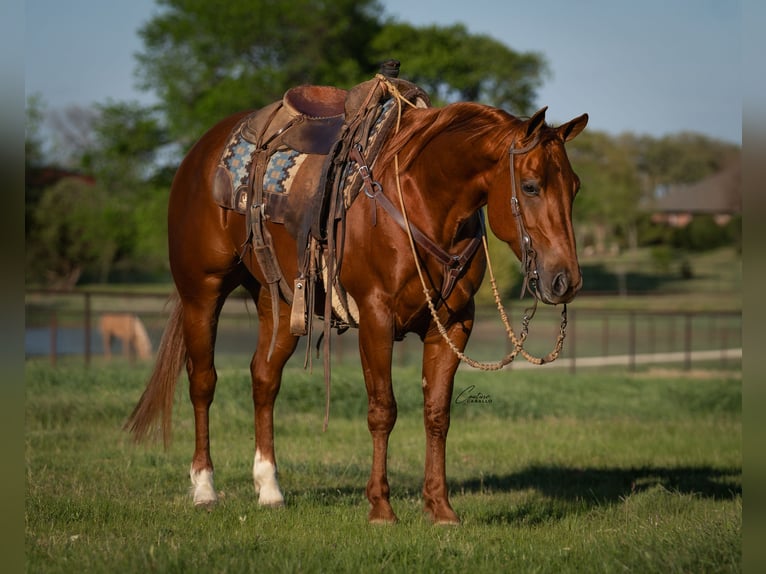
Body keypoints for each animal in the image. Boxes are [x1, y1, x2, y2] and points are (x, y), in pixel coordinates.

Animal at [125, 77, 587, 525]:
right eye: (530, 186)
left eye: (575, 187)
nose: (564, 280)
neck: (422, 197)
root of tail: (200, 152)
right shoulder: (377, 316)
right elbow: (383, 410)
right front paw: (381, 508)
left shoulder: (454, 323)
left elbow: (437, 413)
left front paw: (440, 508)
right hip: (202, 292)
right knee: (202, 382)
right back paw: (204, 488)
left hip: (278, 301)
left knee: (264, 379)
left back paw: (270, 489)